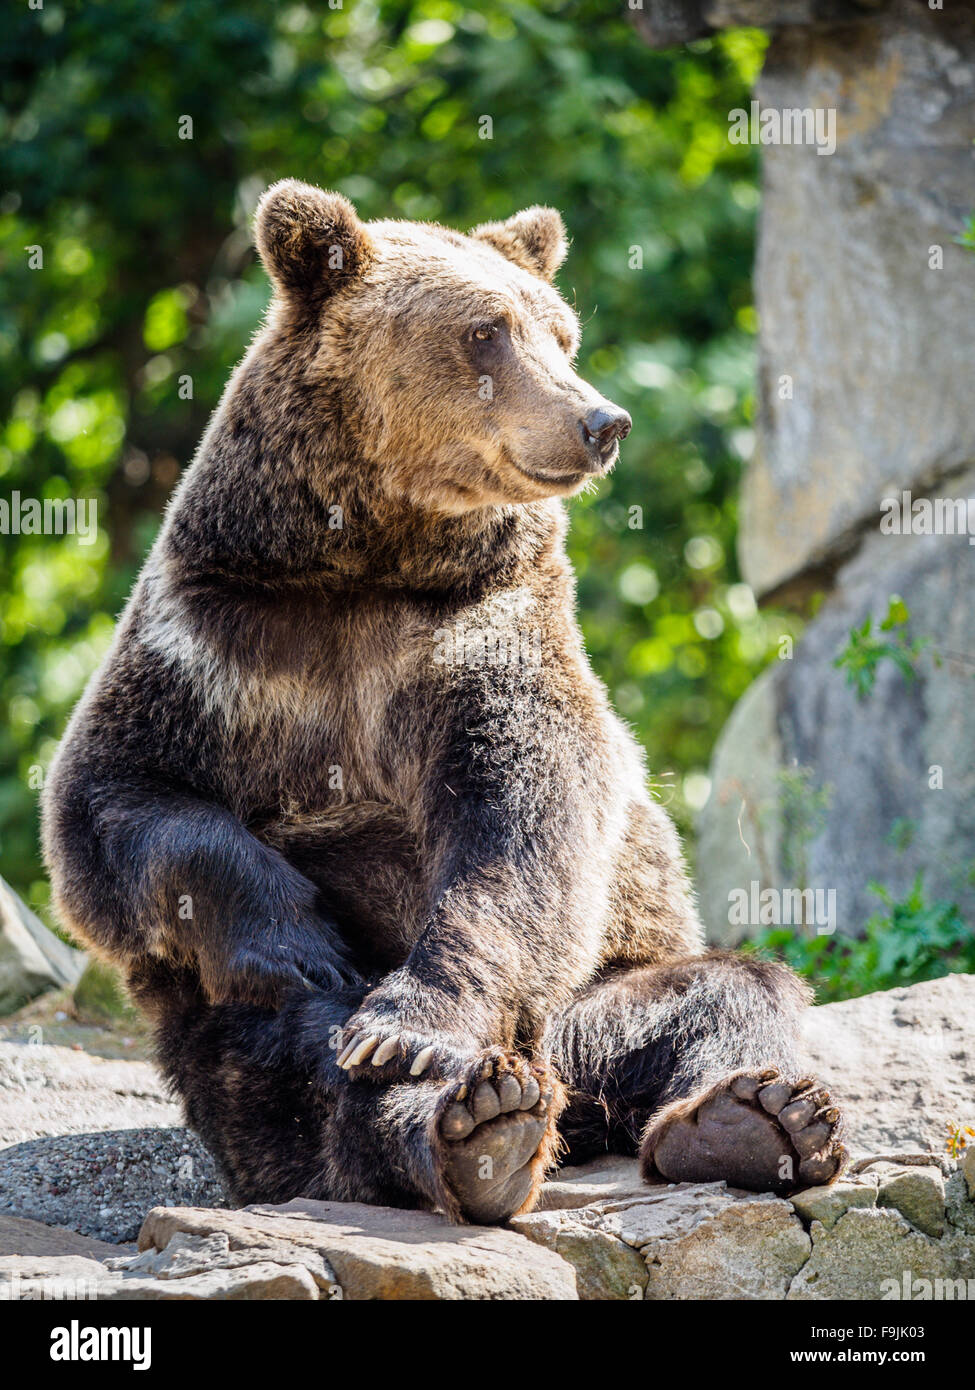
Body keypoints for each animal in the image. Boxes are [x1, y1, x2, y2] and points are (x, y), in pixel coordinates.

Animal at [39, 179, 845, 1223]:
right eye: (485, 330)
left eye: (560, 332)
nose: (601, 421)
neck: (369, 559)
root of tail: (571, 1089)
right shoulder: (216, 634)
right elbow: (118, 802)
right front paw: (307, 948)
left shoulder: (480, 637)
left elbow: (523, 815)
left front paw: (412, 1025)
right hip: (229, 1049)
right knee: (297, 1063)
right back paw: (475, 1126)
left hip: (598, 991)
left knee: (720, 993)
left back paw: (751, 1118)